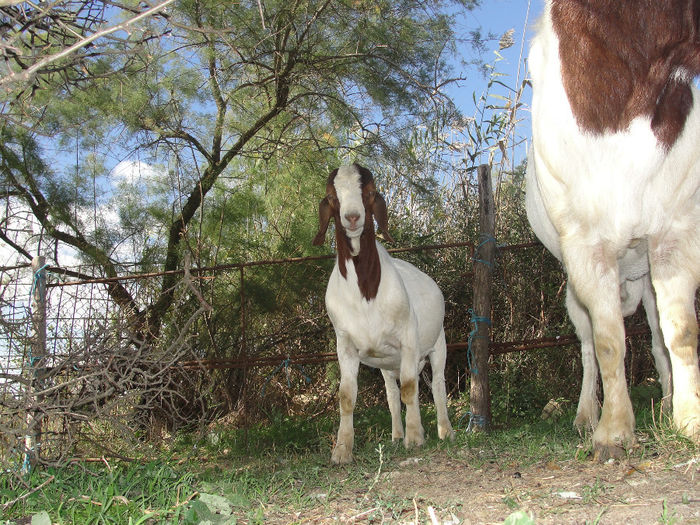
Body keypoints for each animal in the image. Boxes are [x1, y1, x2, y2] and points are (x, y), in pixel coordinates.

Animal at [314, 163, 454, 462]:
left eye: (369, 192)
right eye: (331, 196)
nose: (352, 217)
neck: (366, 294)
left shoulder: (409, 340)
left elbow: (411, 388)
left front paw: (415, 439)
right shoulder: (345, 345)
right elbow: (347, 396)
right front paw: (342, 450)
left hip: (438, 344)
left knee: (437, 385)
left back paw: (444, 431)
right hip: (388, 365)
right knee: (392, 393)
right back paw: (397, 435)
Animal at [532, 0, 700, 458]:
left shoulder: (675, 231)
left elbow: (681, 332)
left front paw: (690, 420)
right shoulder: (585, 244)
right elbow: (608, 340)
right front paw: (614, 432)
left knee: (658, 337)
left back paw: (667, 402)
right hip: (572, 289)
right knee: (589, 345)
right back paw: (586, 415)